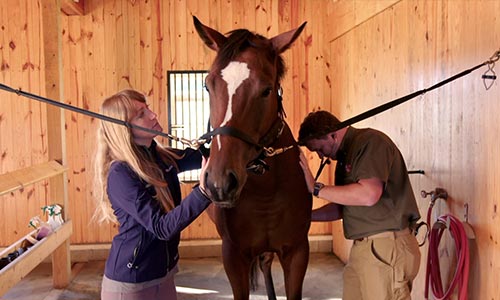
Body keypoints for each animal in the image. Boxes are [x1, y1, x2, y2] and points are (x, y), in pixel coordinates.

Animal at [193, 17, 310, 300]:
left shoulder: (297, 253)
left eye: (267, 90)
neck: (264, 189)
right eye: (207, 85)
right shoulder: (233, 256)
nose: (220, 183)